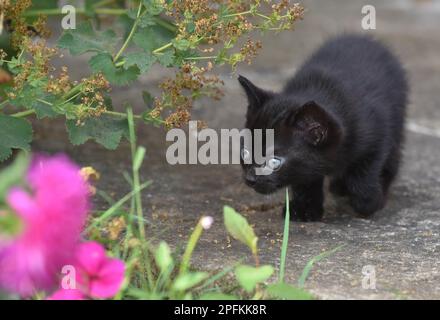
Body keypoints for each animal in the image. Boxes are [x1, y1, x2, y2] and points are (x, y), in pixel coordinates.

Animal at [239, 33, 408, 221]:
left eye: (274, 161)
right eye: (245, 152)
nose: (250, 179)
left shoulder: (376, 136)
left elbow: (364, 173)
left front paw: (368, 202)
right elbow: (306, 180)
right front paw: (304, 209)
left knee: (392, 156)